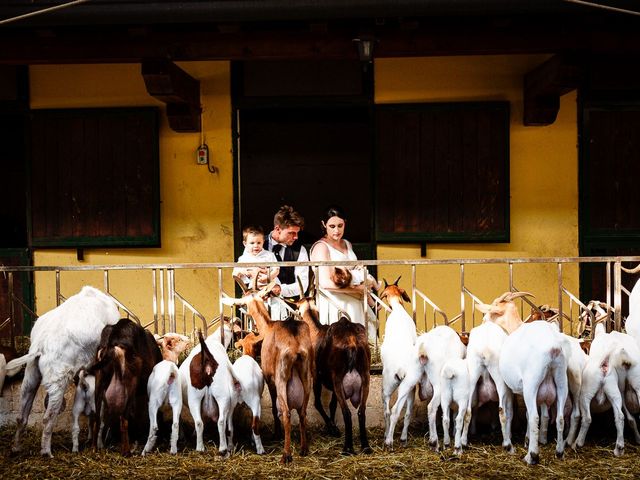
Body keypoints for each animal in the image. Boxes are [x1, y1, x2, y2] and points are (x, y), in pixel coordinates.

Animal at [6, 286, 120, 456]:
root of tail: (39, 345)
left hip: (31, 371)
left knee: (22, 412)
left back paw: (16, 448)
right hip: (57, 377)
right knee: (48, 416)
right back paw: (47, 453)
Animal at [221, 278, 314, 464]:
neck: (268, 326)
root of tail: (295, 344)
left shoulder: (269, 377)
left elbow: (273, 408)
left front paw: (276, 434)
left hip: (281, 377)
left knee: (286, 412)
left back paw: (286, 454)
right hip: (307, 375)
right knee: (302, 412)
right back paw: (303, 448)